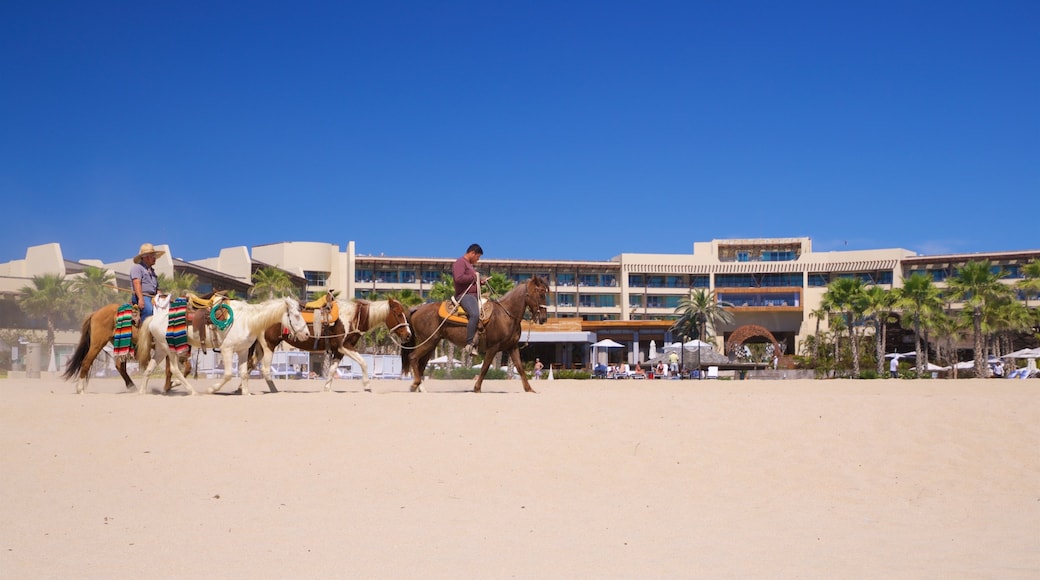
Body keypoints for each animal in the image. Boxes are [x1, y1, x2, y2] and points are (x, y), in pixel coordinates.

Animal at [253, 295, 411, 394]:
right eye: (398, 314)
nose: (408, 334)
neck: (351, 317)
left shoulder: (338, 351)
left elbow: (332, 370)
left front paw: (327, 389)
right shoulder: (344, 346)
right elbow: (363, 363)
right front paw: (367, 386)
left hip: (261, 348)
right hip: (268, 346)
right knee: (265, 370)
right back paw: (273, 390)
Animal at [399, 276, 553, 394]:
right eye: (540, 294)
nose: (543, 318)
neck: (506, 315)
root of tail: (417, 309)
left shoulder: (512, 347)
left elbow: (520, 368)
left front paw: (529, 389)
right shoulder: (493, 347)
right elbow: (485, 367)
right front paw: (477, 388)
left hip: (431, 344)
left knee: (421, 364)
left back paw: (420, 388)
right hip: (428, 342)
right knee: (413, 357)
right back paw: (415, 384)